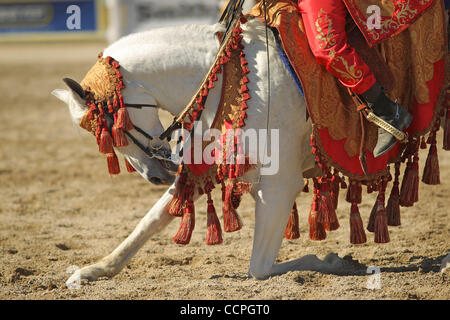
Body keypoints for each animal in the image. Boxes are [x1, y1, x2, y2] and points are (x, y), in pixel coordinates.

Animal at [52, 18, 356, 286]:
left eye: (111, 128)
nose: (154, 177)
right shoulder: (203, 168)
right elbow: (152, 219)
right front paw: (94, 270)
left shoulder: (279, 185)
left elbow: (258, 268)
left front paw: (334, 262)